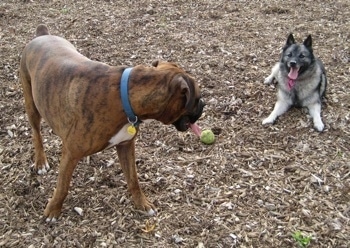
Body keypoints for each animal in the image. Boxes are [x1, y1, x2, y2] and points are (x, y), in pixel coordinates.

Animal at [19, 24, 204, 223]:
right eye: (197, 98)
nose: (203, 104)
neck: (125, 95)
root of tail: (42, 35)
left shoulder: (126, 146)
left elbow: (133, 179)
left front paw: (142, 204)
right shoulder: (70, 152)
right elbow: (62, 185)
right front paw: (53, 210)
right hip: (31, 104)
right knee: (36, 133)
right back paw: (40, 162)